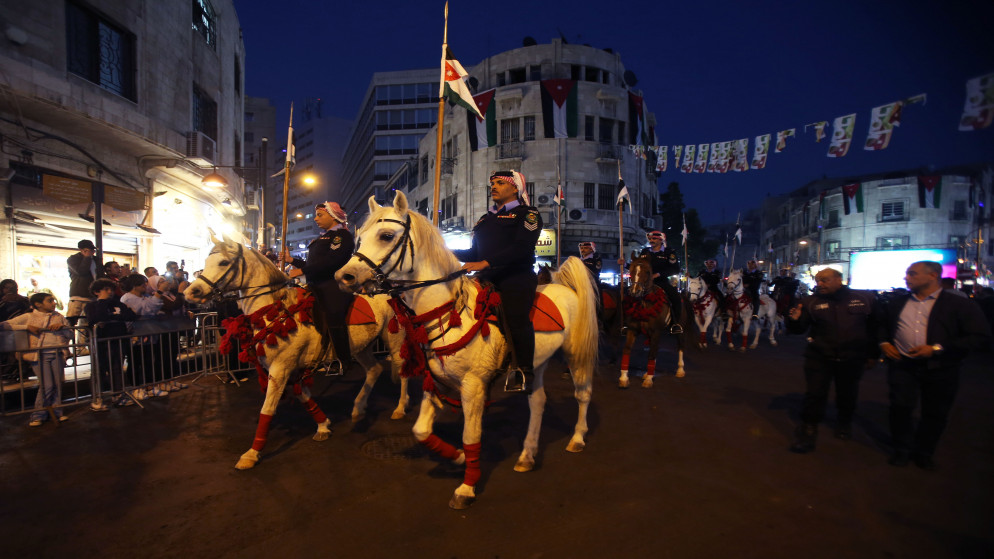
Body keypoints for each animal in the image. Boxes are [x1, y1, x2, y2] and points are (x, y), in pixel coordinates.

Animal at [184, 234, 404, 470]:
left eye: (224, 262)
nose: (191, 292)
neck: (275, 311)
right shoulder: (291, 368)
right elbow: (303, 396)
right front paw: (323, 426)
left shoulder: (280, 369)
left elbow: (268, 409)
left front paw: (252, 453)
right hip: (362, 347)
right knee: (375, 369)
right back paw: (358, 407)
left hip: (393, 339)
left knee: (402, 371)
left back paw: (400, 408)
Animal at [334, 192, 596, 512]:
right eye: (359, 239)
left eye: (386, 235)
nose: (343, 276)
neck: (447, 313)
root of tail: (563, 286)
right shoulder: (436, 383)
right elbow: (421, 431)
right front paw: (457, 457)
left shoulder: (473, 387)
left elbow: (471, 436)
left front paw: (467, 487)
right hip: (535, 363)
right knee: (537, 402)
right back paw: (527, 454)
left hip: (575, 355)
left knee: (582, 394)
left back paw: (578, 438)